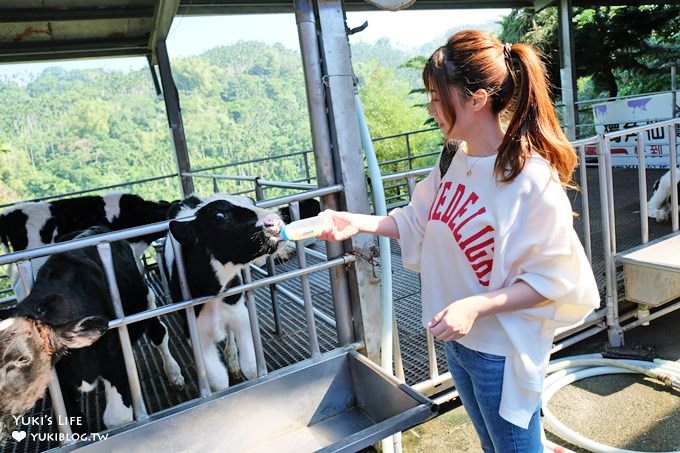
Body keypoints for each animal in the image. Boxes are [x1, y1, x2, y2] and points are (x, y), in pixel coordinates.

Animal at [0, 228, 183, 436]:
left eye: (23, 357)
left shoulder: (116, 362)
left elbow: (117, 419)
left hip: (146, 301)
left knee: (159, 334)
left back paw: (174, 374)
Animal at [164, 193, 286, 388]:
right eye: (219, 216)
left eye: (251, 202)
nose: (274, 220)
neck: (214, 290)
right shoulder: (194, 332)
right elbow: (219, 380)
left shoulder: (240, 314)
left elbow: (251, 368)